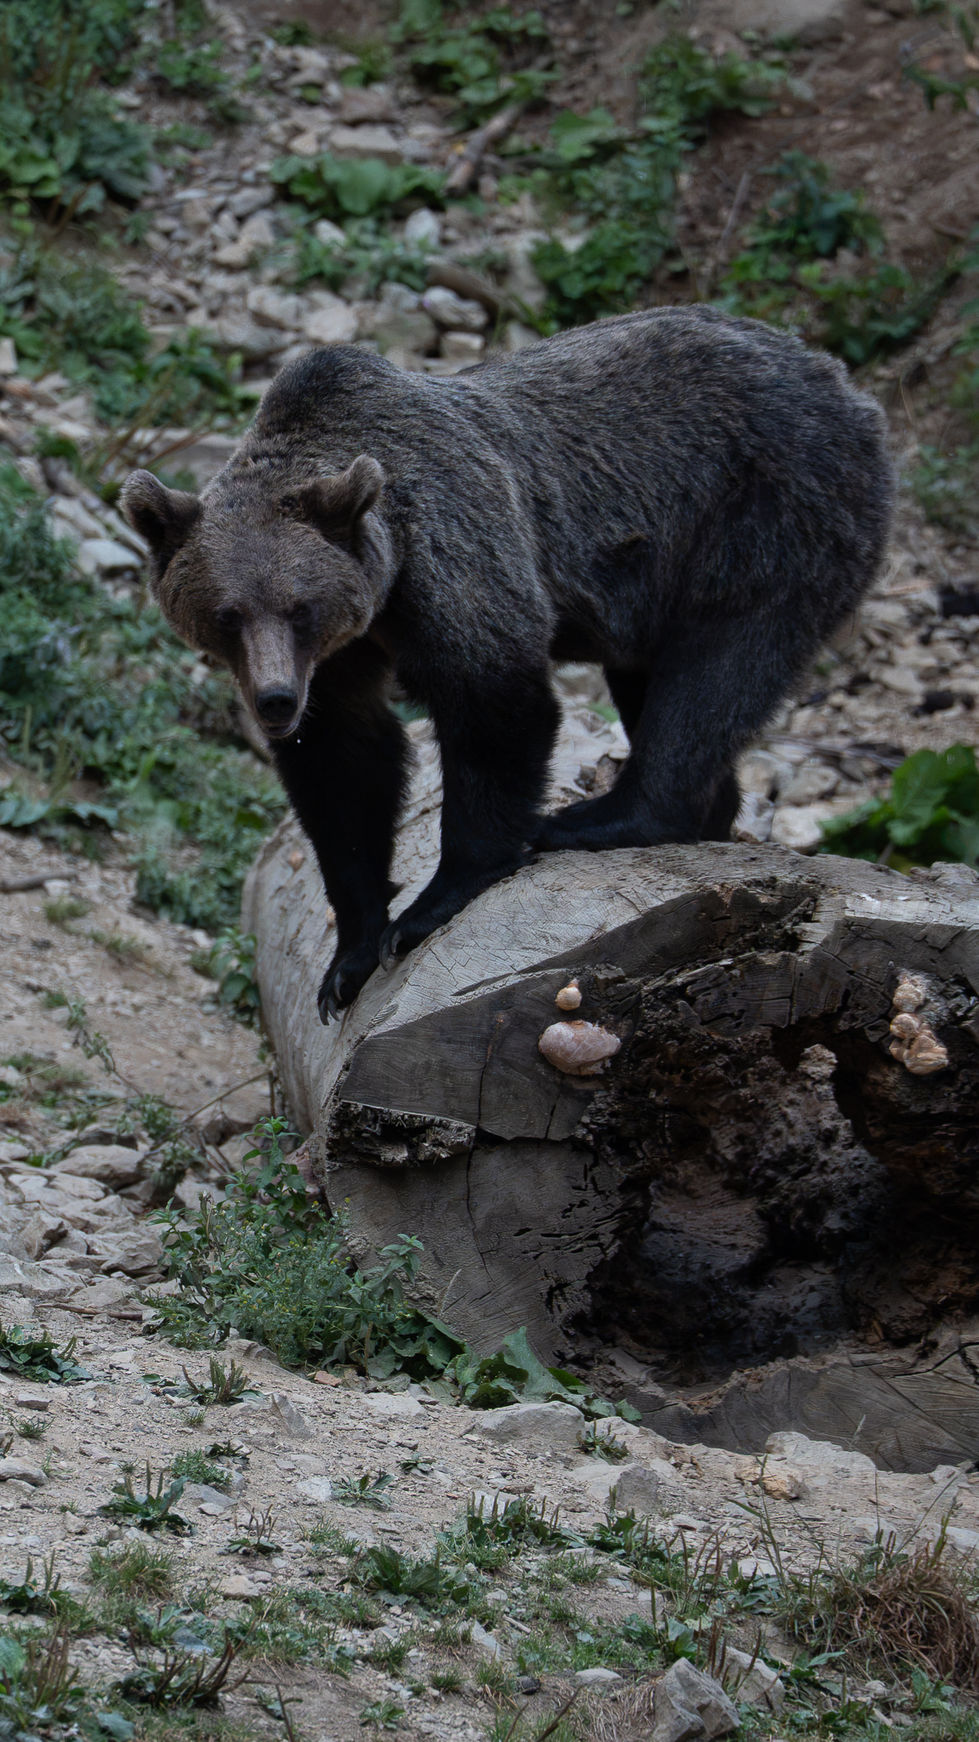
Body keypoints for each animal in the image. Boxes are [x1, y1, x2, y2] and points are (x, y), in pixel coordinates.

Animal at [121, 305, 894, 1021]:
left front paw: (428, 908)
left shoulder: (451, 551)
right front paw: (349, 959)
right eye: (227, 615)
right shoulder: (344, 656)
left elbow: (493, 700)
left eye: (299, 607)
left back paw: (597, 820)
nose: (277, 701)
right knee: (657, 682)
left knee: (714, 671)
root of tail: (847, 388)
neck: (384, 589)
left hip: (765, 513)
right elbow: (345, 767)